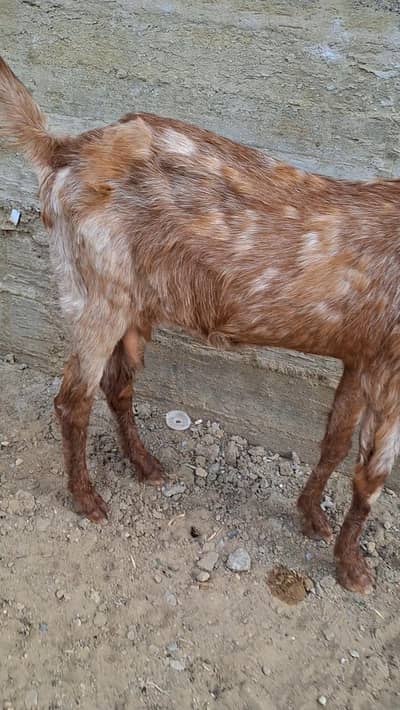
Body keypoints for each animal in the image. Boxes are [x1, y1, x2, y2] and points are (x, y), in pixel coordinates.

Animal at [1, 55, 398, 594]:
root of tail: (62, 150)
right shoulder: (389, 364)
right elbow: (370, 476)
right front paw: (352, 567)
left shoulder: (360, 354)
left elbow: (334, 441)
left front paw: (311, 516)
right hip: (95, 295)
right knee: (72, 401)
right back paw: (87, 499)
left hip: (133, 306)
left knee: (117, 385)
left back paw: (146, 465)